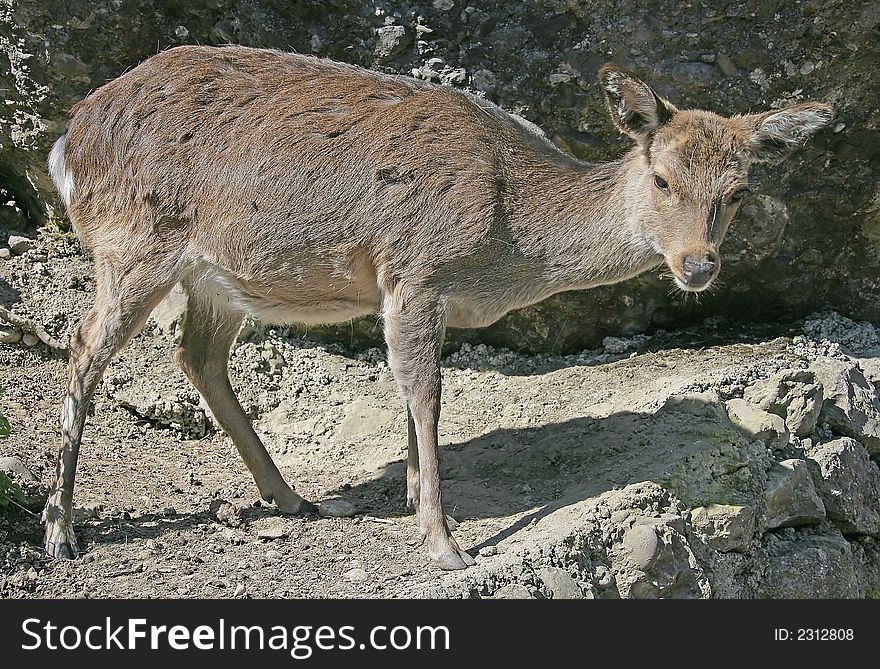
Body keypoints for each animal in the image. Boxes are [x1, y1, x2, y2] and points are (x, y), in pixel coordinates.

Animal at [44, 45, 832, 568]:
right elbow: (426, 392)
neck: (508, 242)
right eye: (663, 178)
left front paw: (413, 496)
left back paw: (294, 498)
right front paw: (443, 540)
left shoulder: (422, 293)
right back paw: (60, 532)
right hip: (134, 243)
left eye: (740, 190)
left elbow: (409, 390)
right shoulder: (417, 268)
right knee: (82, 349)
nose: (697, 264)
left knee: (197, 355)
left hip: (220, 276)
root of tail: (70, 139)